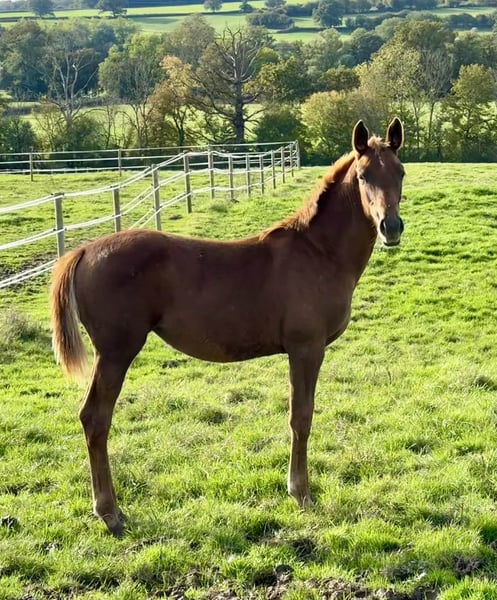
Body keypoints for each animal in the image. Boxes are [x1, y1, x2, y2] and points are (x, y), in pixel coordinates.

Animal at [50, 118, 404, 535]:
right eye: (364, 175)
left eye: (399, 172)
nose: (391, 227)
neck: (318, 252)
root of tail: (84, 250)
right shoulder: (306, 349)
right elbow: (301, 417)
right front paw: (301, 493)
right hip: (116, 353)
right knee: (95, 418)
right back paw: (109, 512)